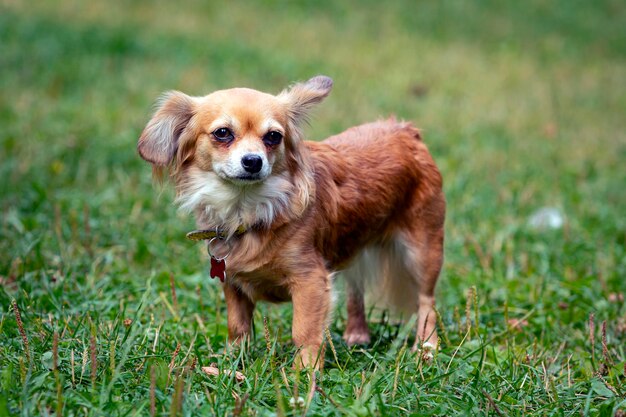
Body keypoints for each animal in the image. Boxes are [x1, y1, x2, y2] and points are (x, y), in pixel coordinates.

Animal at [139, 76, 446, 366]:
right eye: (223, 133)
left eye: (274, 136)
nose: (253, 161)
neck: (249, 209)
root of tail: (405, 129)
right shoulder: (233, 283)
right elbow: (238, 326)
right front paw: (233, 361)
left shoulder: (311, 280)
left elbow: (305, 331)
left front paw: (305, 372)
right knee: (355, 289)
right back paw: (357, 334)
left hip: (421, 251)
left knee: (426, 301)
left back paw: (426, 347)